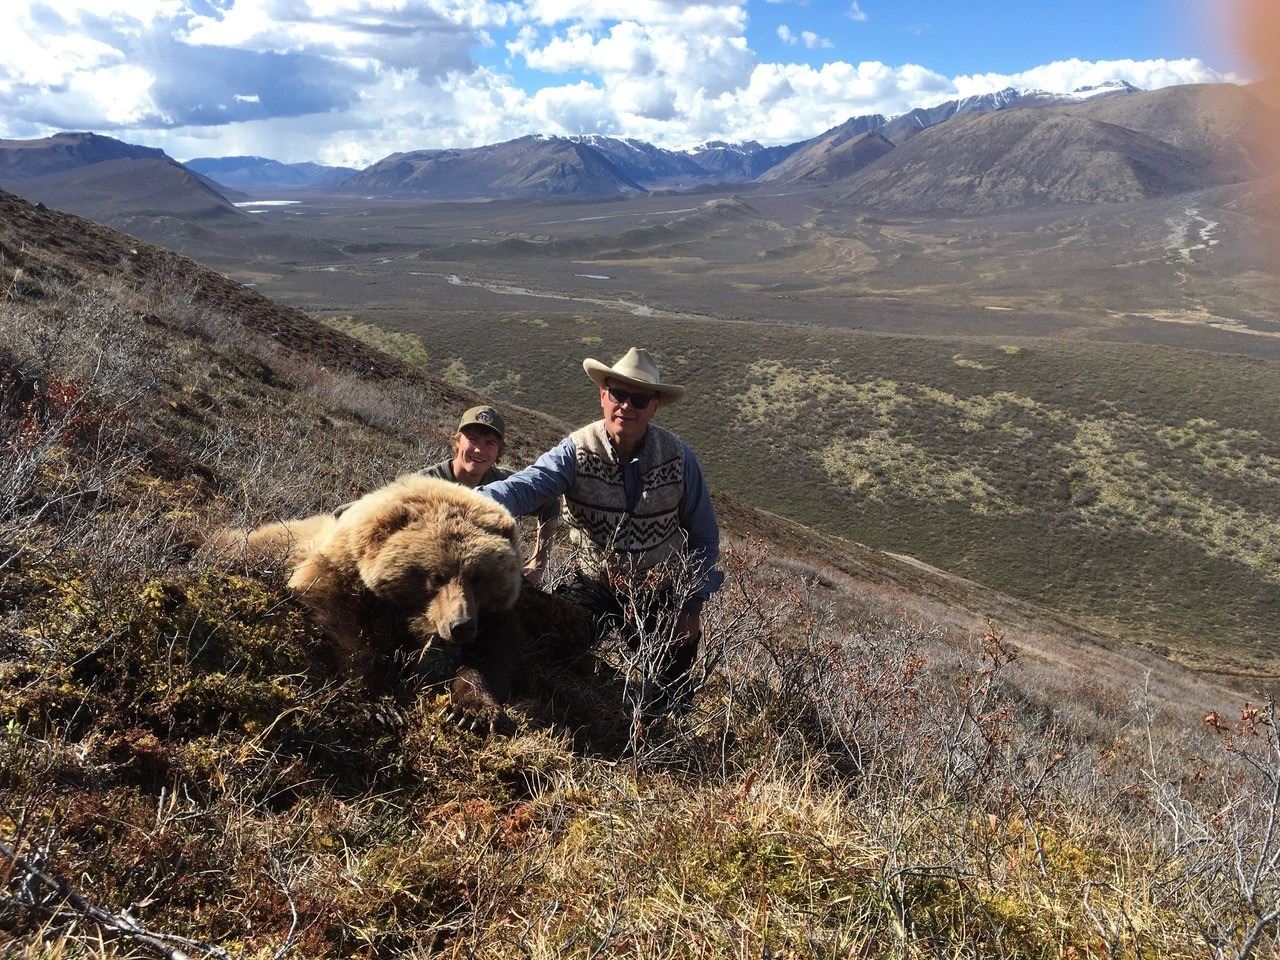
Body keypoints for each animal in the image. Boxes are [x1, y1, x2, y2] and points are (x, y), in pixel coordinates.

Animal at [222, 474, 525, 729]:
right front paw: (380, 703)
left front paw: (473, 711)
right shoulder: (341, 572)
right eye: (437, 576)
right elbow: (340, 621)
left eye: (478, 577)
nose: (460, 625)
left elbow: (492, 658)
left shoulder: (494, 619)